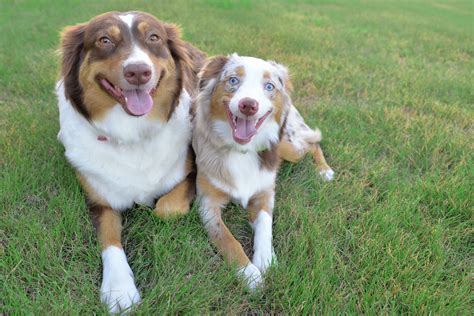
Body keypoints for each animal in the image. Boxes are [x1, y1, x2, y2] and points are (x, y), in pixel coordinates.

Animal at [55, 11, 204, 312]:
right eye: (104, 40)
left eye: (154, 38)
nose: (138, 72)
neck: (131, 133)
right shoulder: (99, 200)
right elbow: (110, 240)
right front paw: (119, 289)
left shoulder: (193, 169)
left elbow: (166, 208)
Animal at [193, 54, 334, 288]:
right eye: (233, 80)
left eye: (269, 86)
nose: (248, 105)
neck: (241, 151)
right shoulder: (207, 203)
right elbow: (227, 238)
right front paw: (248, 273)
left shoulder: (265, 193)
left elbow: (265, 227)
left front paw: (266, 261)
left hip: (289, 146)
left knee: (312, 143)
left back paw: (324, 170)